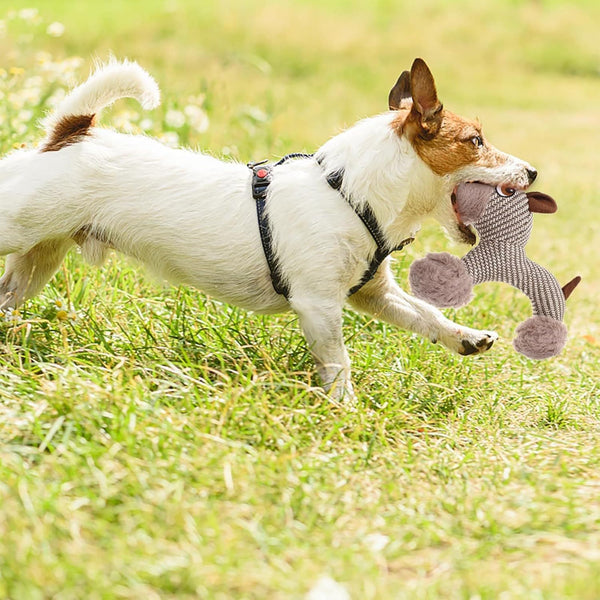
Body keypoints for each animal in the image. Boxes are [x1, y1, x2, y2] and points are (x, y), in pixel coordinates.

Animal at [0, 57, 536, 398]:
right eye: (476, 140)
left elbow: (425, 314)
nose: (532, 172)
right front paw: (345, 410)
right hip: (19, 229)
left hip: (39, 261)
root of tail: (72, 134)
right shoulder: (319, 305)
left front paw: (464, 336)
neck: (348, 194)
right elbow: (338, 363)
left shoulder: (373, 294)